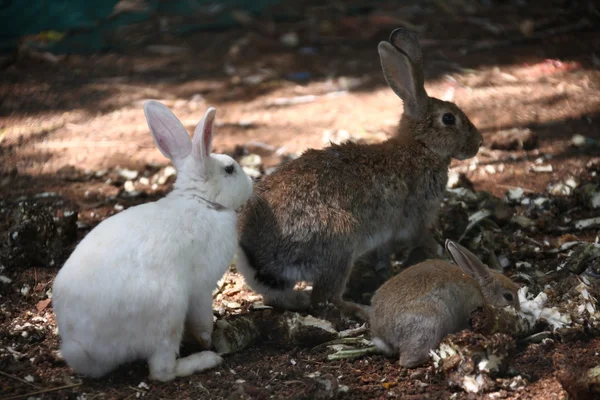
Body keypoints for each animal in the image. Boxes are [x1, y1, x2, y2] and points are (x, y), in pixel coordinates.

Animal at [52, 100, 254, 382]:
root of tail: (86, 350)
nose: (251, 183)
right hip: (168, 311)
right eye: (230, 169)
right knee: (162, 370)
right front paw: (206, 340)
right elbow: (202, 319)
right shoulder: (202, 289)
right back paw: (203, 360)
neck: (201, 201)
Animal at [234, 27, 482, 322]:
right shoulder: (418, 216)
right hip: (340, 241)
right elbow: (421, 237)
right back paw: (360, 309)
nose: (479, 142)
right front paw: (439, 251)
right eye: (449, 119)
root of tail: (257, 258)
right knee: (324, 298)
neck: (420, 146)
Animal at [368, 239, 516, 368]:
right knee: (408, 360)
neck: (481, 289)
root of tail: (383, 335)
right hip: (429, 324)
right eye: (508, 296)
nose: (518, 308)